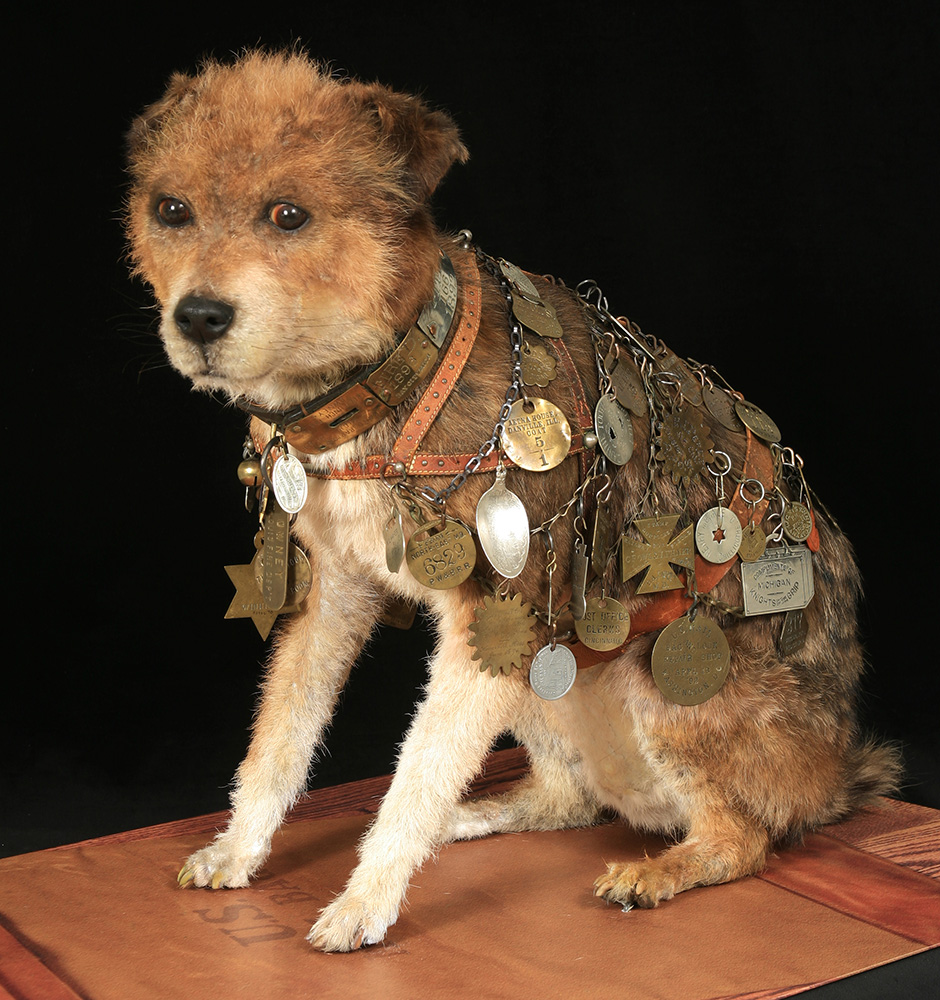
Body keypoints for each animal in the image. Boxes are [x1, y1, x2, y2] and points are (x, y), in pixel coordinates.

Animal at [125, 48, 896, 952]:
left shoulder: (498, 617)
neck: (401, 372)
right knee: (569, 801)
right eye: (171, 209)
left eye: (289, 214)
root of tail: (838, 772)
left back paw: (656, 870)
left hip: (649, 687)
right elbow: (279, 739)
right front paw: (239, 848)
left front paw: (365, 900)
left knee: (743, 837)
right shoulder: (338, 598)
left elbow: (417, 773)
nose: (198, 317)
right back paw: (471, 818)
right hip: (546, 679)